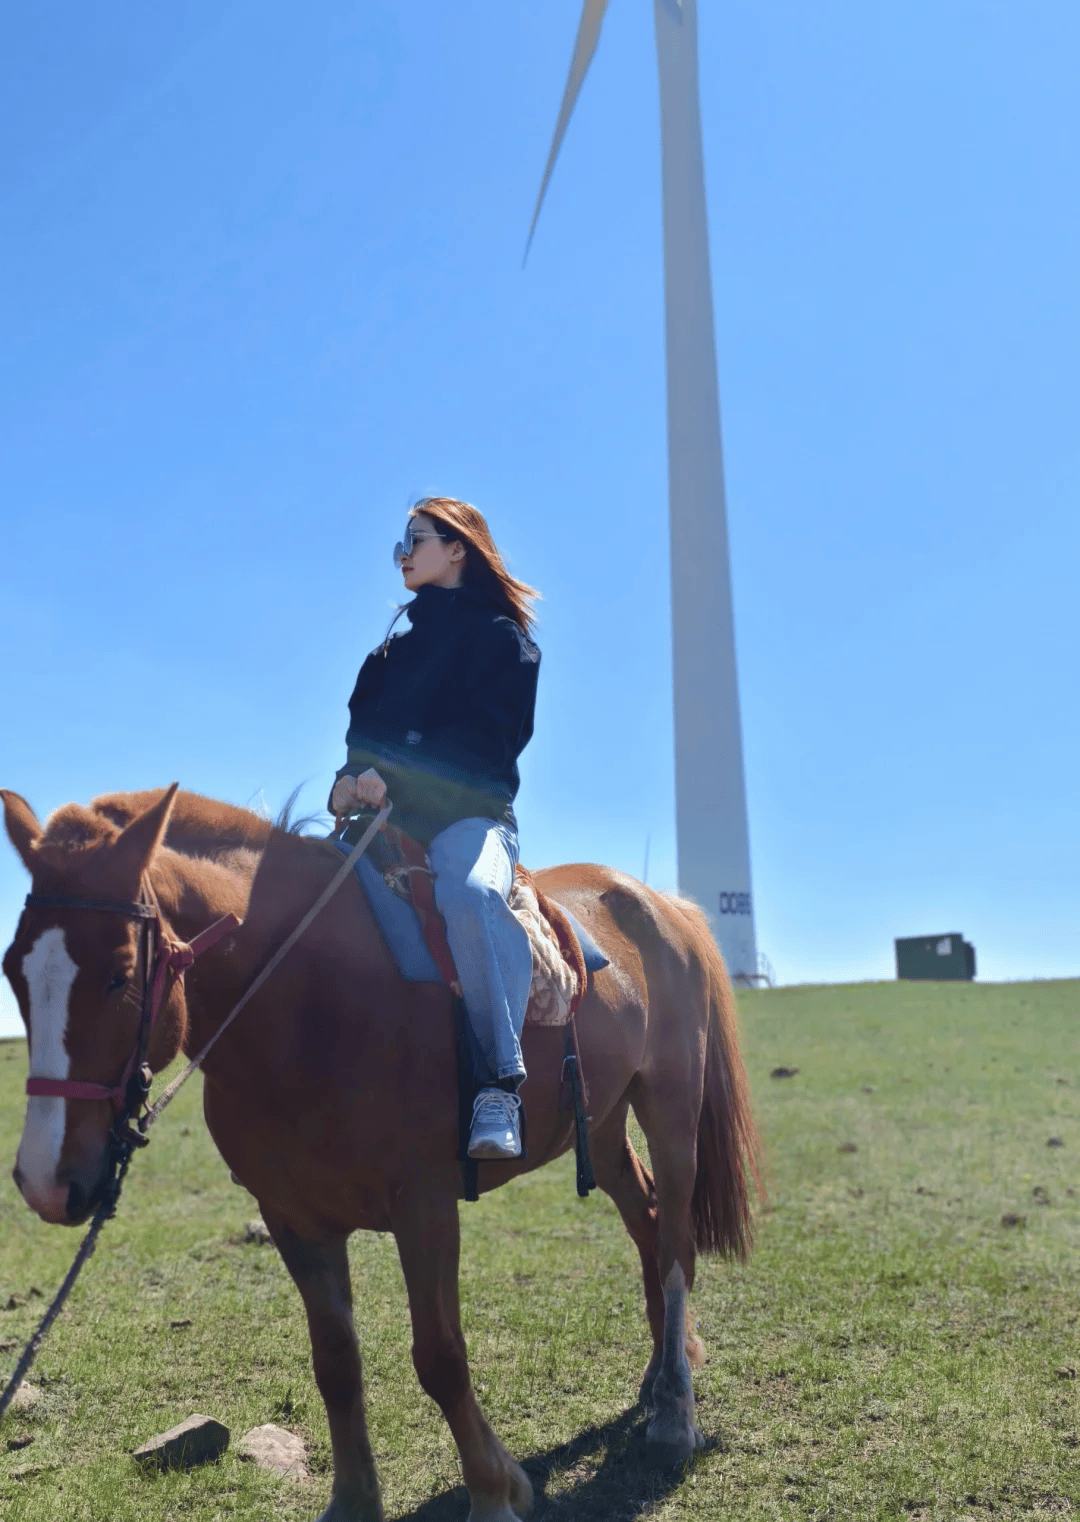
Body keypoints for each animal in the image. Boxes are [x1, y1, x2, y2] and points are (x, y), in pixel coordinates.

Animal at [2, 785, 760, 1522]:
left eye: (120, 975)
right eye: (13, 971)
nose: (44, 1182)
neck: (305, 1002)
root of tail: (662, 904)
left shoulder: (424, 1206)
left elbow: (441, 1356)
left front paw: (495, 1491)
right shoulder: (292, 1219)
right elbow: (335, 1364)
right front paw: (354, 1498)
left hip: (670, 1107)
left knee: (675, 1246)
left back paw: (675, 1415)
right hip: (599, 1125)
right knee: (648, 1221)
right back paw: (661, 1372)